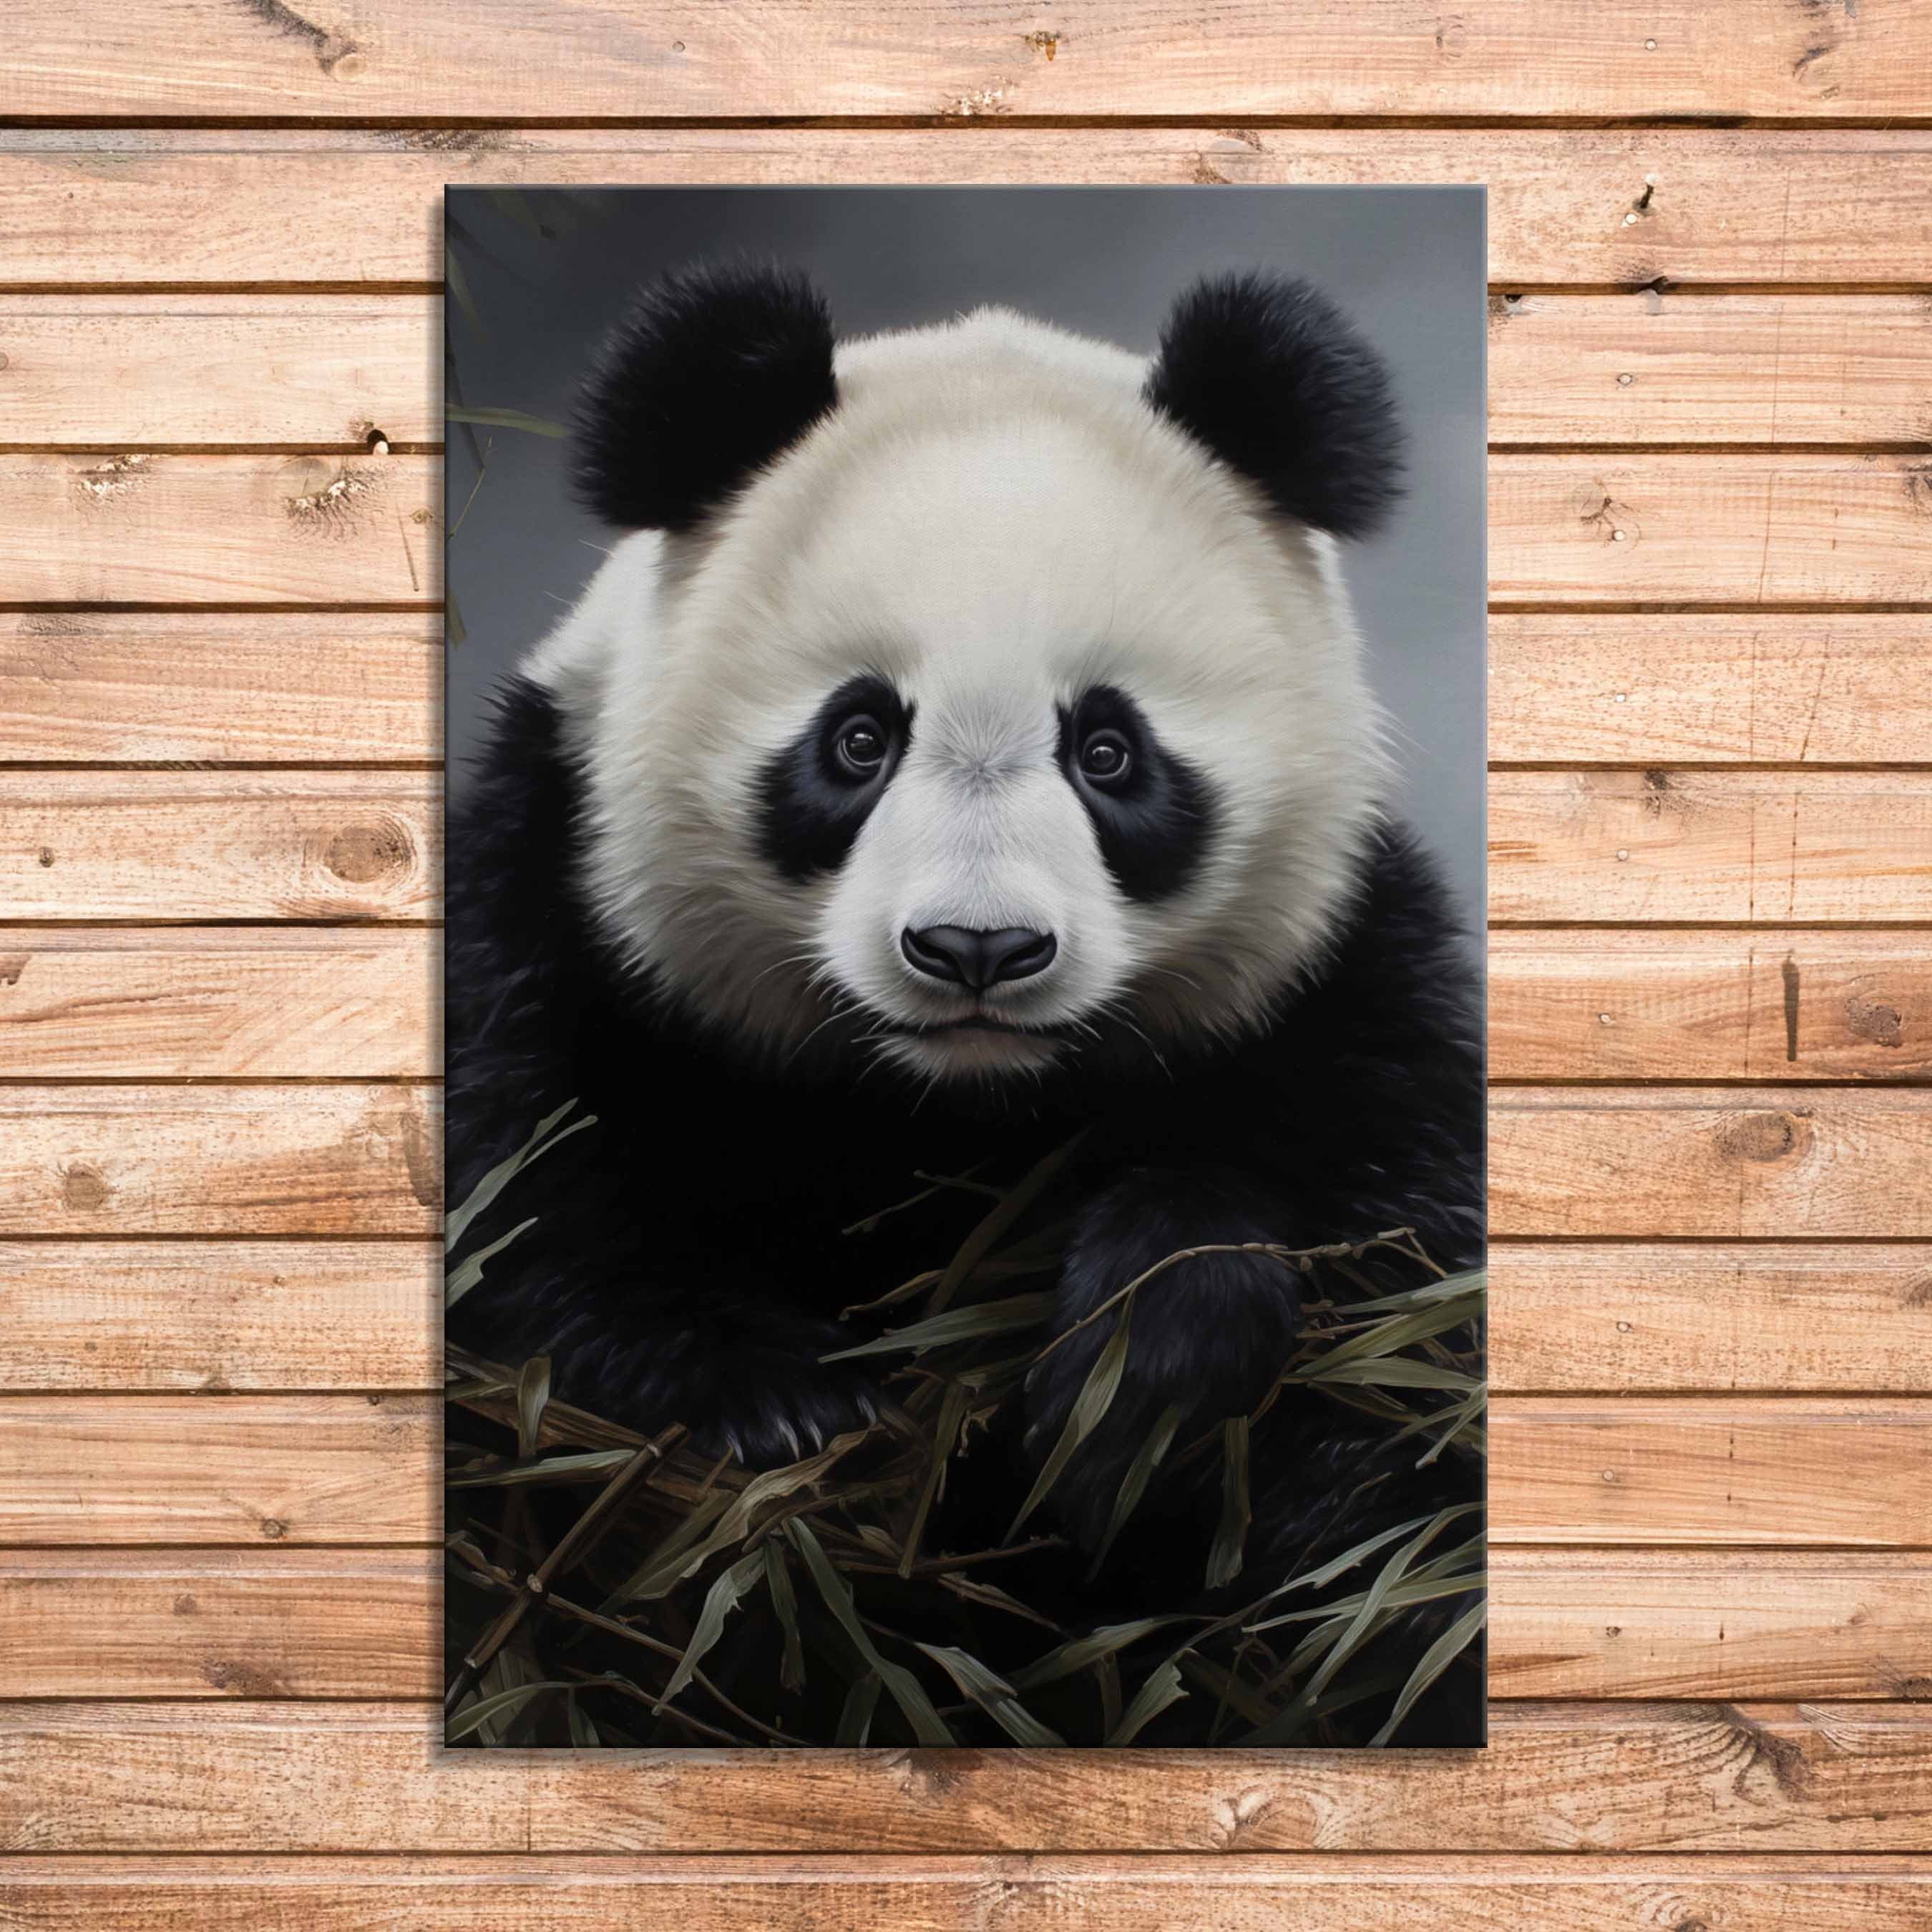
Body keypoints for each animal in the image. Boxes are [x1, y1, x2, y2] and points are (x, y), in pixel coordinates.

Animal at [447, 262, 1484, 1738]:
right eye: (858, 738)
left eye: (1108, 750)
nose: (977, 949)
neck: (948, 1112)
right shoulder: (550, 911)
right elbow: (518, 1225)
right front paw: (786, 1414)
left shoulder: (1347, 980)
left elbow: (1403, 1351)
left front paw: (1140, 1361)